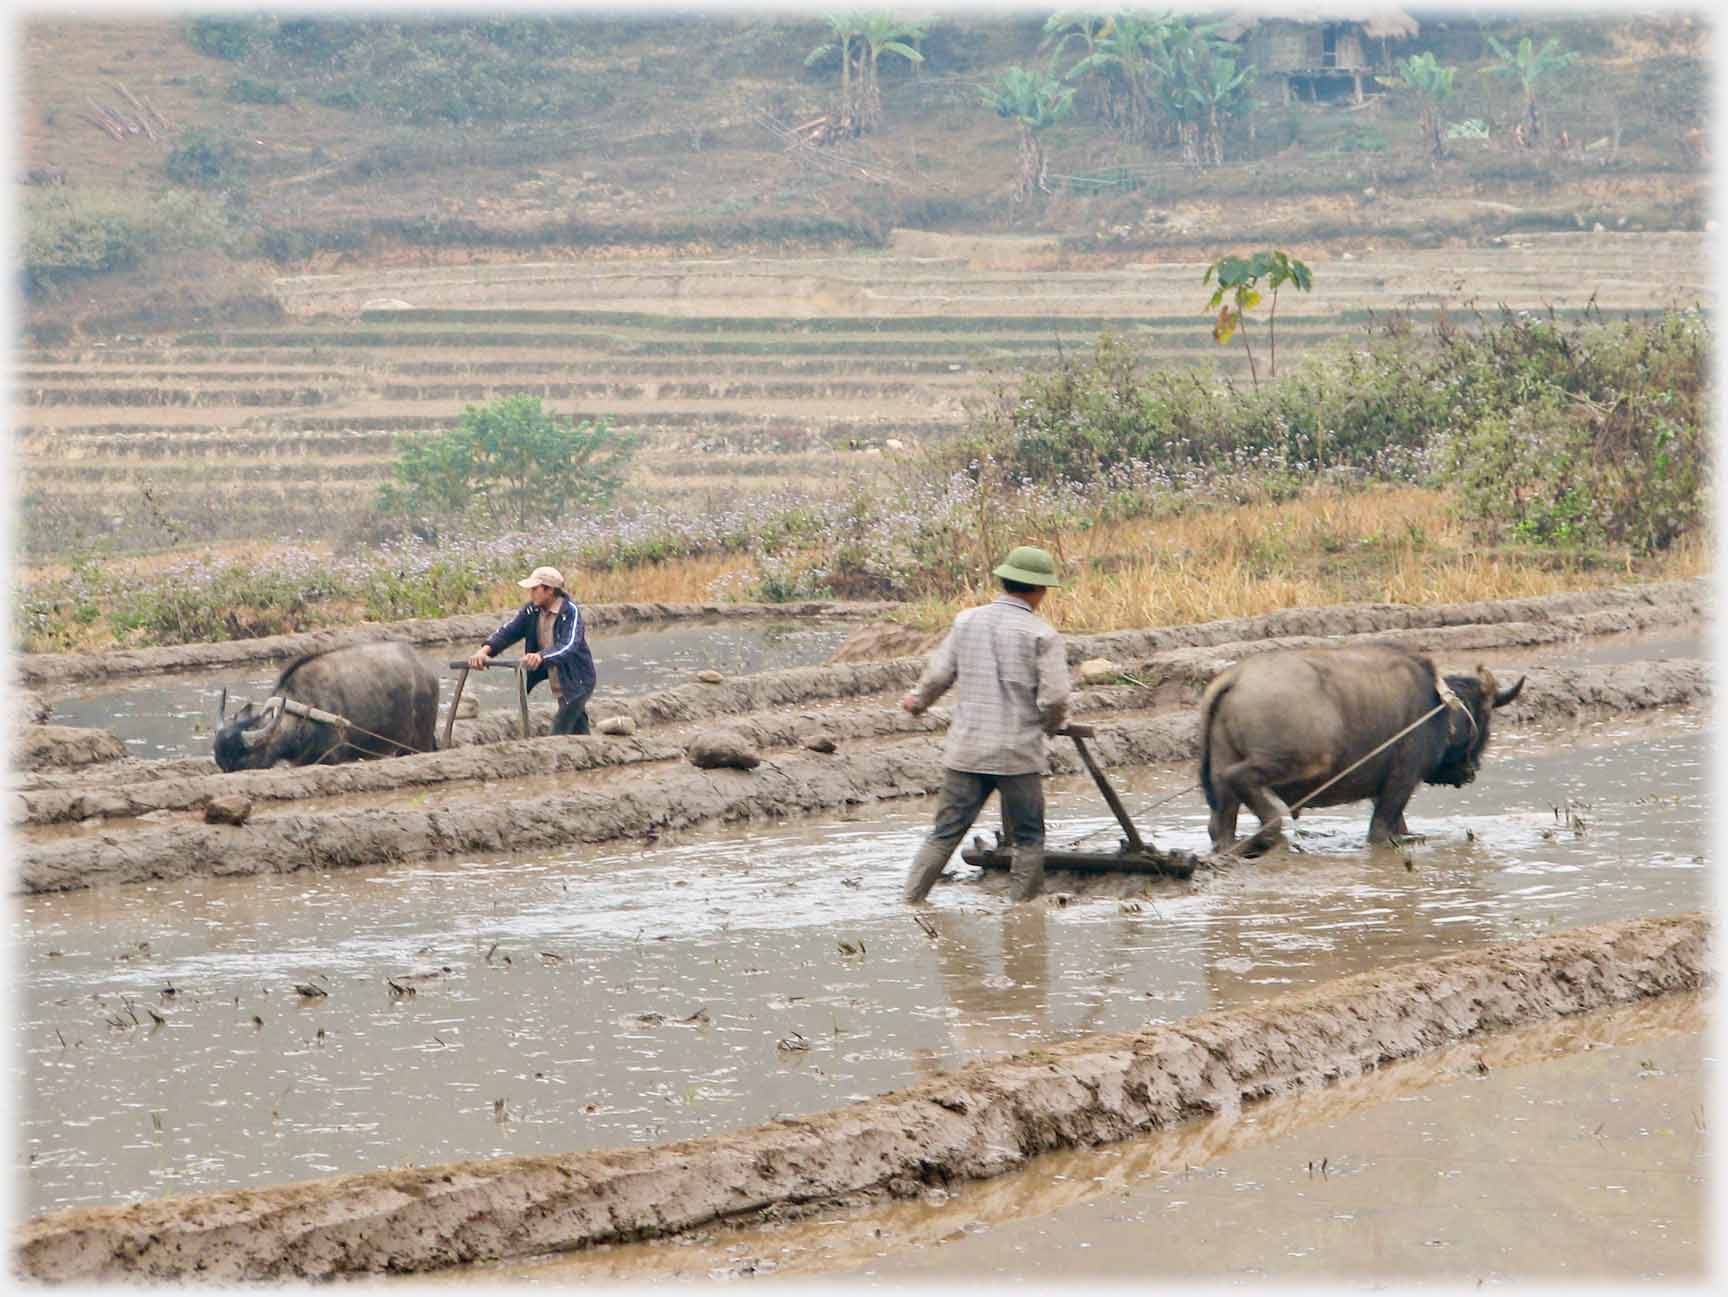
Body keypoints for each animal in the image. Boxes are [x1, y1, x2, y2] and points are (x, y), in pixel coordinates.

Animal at [1202, 645, 1527, 856]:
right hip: (1299, 760)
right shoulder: (1402, 780)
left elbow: (1400, 826)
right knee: (1239, 778)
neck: (1438, 708)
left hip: (1222, 769)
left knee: (1221, 821)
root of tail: (1237, 677)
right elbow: (1381, 830)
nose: (1472, 770)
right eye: (1485, 717)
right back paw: (1271, 833)